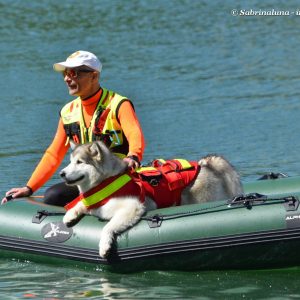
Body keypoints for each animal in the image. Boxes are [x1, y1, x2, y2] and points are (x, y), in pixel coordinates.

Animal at [59, 141, 243, 258]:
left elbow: (107, 227)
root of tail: (209, 164)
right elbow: (80, 204)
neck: (105, 182)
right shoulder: (94, 203)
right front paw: (69, 215)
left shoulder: (133, 207)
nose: (61, 173)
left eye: (79, 162)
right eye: (70, 162)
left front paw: (104, 245)